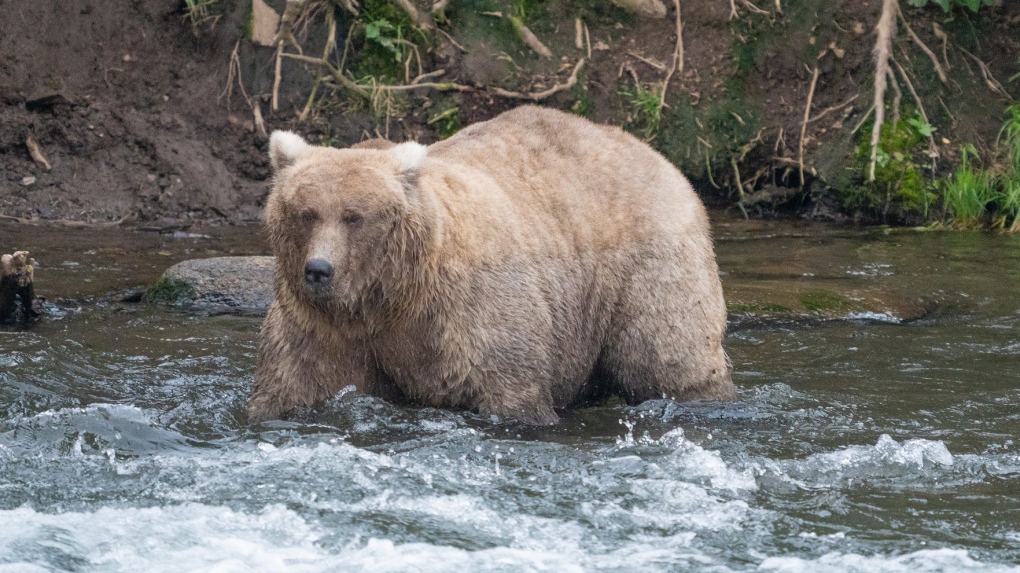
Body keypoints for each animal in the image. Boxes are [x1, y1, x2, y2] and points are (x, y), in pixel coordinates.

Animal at [250, 105, 738, 422]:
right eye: (306, 212)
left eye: (354, 216)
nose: (319, 270)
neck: (389, 297)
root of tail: (655, 154)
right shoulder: (323, 326)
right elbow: (296, 383)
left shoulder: (468, 311)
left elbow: (508, 387)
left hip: (646, 266)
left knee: (667, 354)